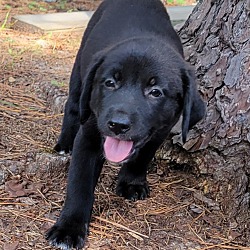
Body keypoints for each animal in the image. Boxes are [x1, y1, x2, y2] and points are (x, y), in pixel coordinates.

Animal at [46, 0, 205, 249]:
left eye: (155, 92)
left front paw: (132, 182)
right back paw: (64, 143)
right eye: (110, 83)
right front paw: (69, 228)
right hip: (79, 71)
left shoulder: (159, 131)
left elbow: (142, 157)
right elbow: (79, 183)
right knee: (72, 106)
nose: (118, 125)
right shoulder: (89, 135)